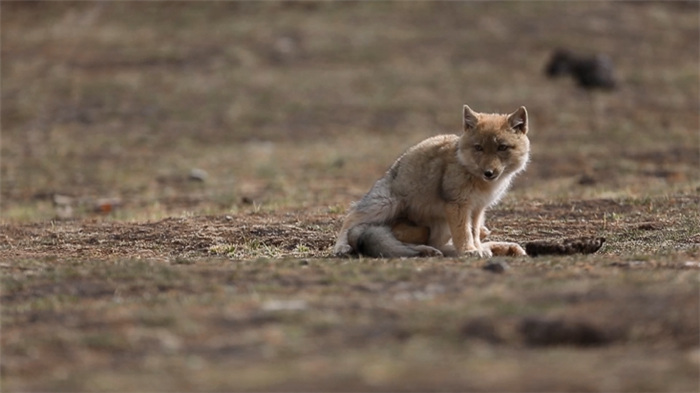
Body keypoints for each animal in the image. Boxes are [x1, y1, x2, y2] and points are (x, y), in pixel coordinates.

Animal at [334, 105, 532, 258]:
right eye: (479, 148)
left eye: (502, 147)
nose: (489, 173)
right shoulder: (458, 204)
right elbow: (463, 233)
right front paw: (469, 251)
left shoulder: (477, 209)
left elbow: (473, 233)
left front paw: (476, 248)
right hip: (386, 205)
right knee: (351, 218)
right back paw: (341, 247)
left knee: (439, 245)